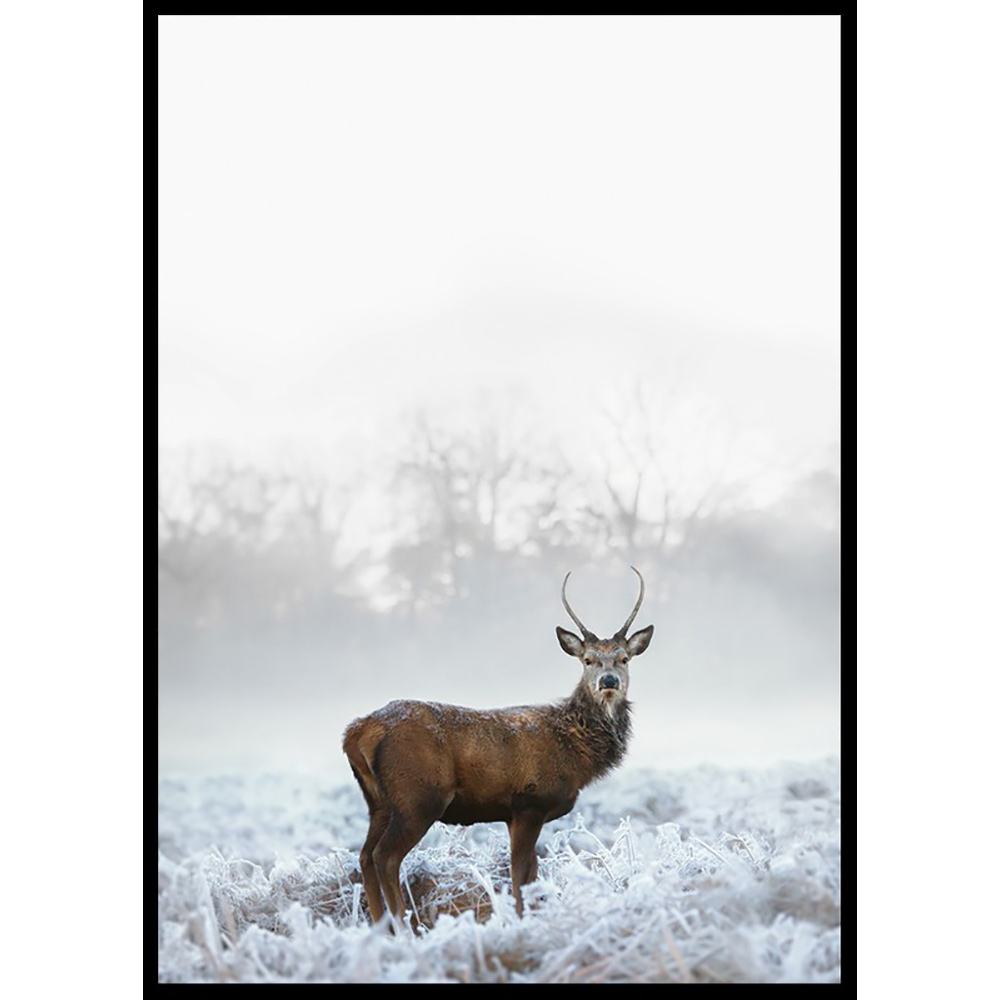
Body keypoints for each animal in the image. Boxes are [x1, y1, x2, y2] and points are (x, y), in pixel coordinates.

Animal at [342, 566, 655, 926]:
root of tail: (357, 732)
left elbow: (530, 873)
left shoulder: (513, 813)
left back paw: (382, 928)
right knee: (385, 856)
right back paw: (405, 925)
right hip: (419, 795)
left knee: (365, 855)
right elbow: (520, 875)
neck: (577, 753)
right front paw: (521, 922)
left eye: (624, 658)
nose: (608, 681)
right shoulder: (530, 802)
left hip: (379, 801)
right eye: (588, 660)